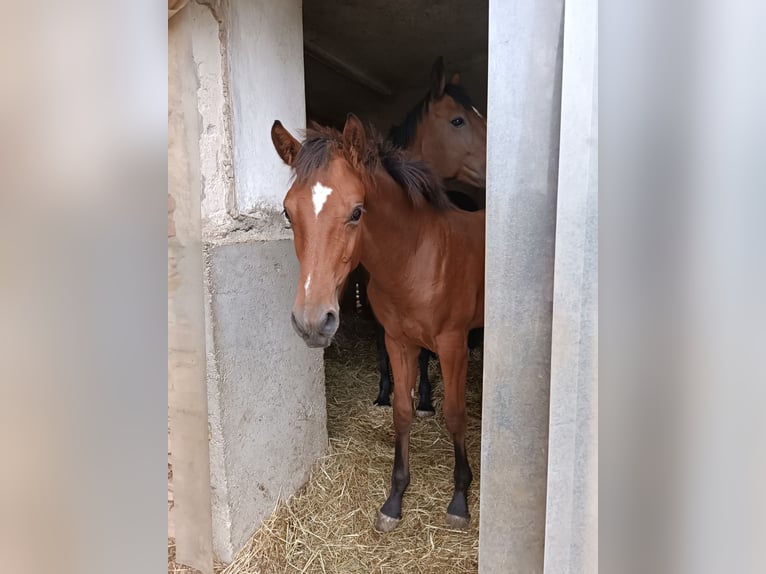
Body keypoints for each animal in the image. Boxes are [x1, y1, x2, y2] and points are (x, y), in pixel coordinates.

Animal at [271, 114, 485, 532]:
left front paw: (459, 499)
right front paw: (394, 499)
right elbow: (401, 412)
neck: (416, 257)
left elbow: (455, 414)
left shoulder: (453, 344)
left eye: (357, 211)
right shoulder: (396, 341)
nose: (312, 321)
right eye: (288, 212)